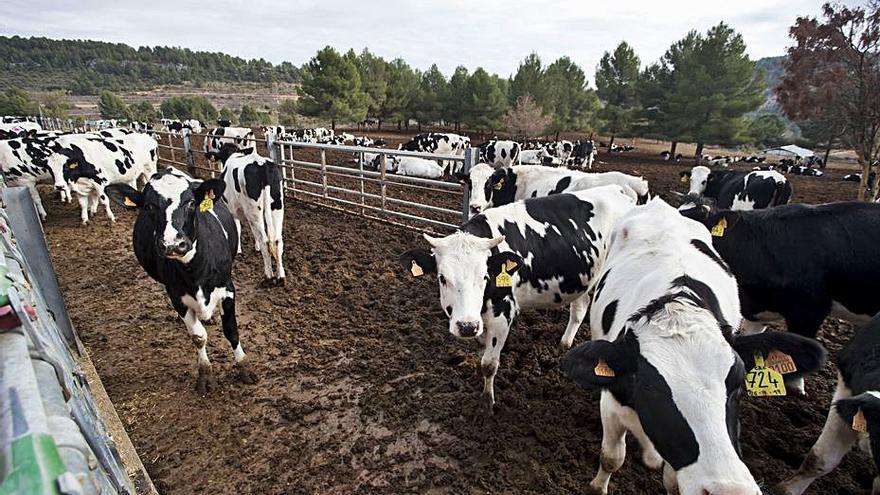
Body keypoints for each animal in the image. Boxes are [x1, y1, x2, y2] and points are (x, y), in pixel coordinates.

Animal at [105, 170, 258, 396]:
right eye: (149, 206)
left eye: (191, 203)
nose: (173, 244)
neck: (195, 271)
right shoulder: (177, 297)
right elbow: (198, 337)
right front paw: (205, 375)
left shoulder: (228, 289)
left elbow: (231, 330)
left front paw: (244, 368)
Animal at [206, 144, 286, 286]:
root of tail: (261, 164)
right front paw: (256, 247)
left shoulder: (232, 209)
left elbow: (237, 228)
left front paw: (238, 250)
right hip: (276, 207)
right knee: (277, 240)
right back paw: (281, 276)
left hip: (254, 210)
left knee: (265, 241)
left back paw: (268, 276)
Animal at [400, 186, 640, 410]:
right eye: (442, 278)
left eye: (485, 276)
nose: (467, 326)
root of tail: (619, 190)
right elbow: (481, 354)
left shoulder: (502, 315)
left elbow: (489, 363)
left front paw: (487, 403)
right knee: (580, 307)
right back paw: (565, 343)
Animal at [564, 199, 824, 495]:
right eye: (651, 387)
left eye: (738, 382)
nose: (729, 490)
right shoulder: (611, 404)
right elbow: (611, 457)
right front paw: (598, 485)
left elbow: (672, 481)